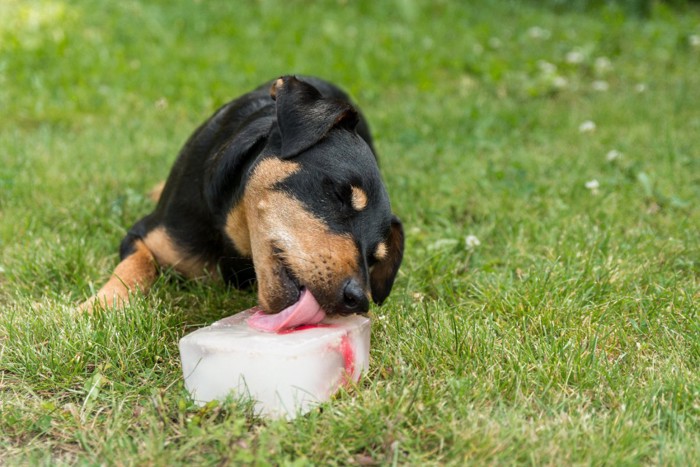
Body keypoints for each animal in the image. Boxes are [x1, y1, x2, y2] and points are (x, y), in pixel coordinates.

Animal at [83, 77, 404, 320]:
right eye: (340, 193)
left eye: (374, 257)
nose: (359, 300)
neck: (232, 236)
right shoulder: (146, 235)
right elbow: (134, 267)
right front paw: (98, 307)